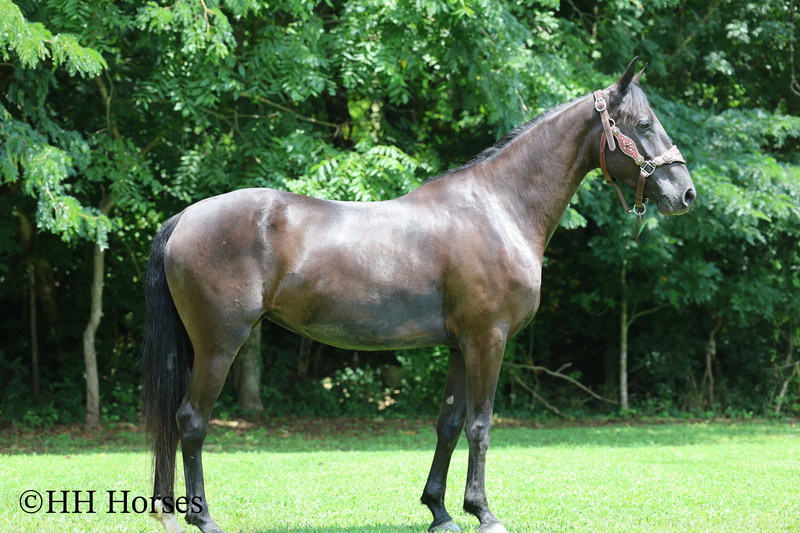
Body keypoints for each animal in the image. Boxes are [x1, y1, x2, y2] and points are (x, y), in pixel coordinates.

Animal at [140, 58, 695, 533]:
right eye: (643, 124)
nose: (685, 194)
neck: (498, 208)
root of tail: (184, 218)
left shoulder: (459, 346)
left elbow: (448, 424)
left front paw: (440, 511)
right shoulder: (488, 340)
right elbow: (480, 425)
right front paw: (484, 512)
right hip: (219, 345)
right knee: (191, 421)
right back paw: (201, 517)